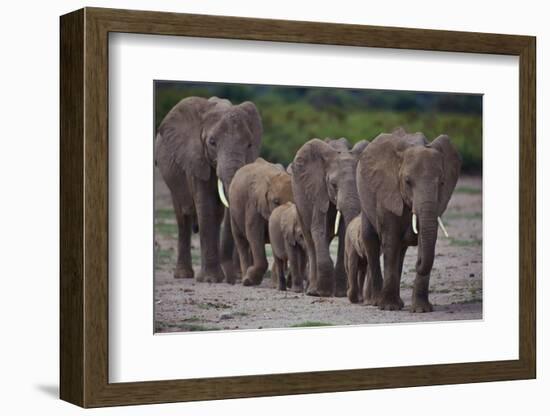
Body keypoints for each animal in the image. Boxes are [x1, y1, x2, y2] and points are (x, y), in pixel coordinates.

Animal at [155, 95, 264, 282]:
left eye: (249, 144)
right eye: (212, 142)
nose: (234, 279)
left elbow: (217, 210)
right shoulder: (195, 158)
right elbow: (205, 205)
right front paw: (210, 279)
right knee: (182, 216)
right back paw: (184, 275)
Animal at [230, 158, 296, 286]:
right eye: (275, 202)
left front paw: (276, 284)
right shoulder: (253, 203)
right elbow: (254, 233)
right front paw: (250, 280)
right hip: (233, 212)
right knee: (241, 241)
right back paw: (245, 280)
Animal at [294, 138, 370, 298]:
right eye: (333, 185)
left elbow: (343, 231)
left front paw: (340, 293)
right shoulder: (317, 189)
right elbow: (318, 228)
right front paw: (323, 293)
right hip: (299, 201)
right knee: (309, 239)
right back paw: (312, 291)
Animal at [356, 127, 464, 312]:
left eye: (442, 183)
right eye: (407, 181)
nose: (417, 263)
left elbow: (426, 238)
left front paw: (422, 310)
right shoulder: (387, 191)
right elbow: (390, 241)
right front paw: (388, 307)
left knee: (401, 249)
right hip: (365, 198)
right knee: (371, 240)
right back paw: (376, 302)